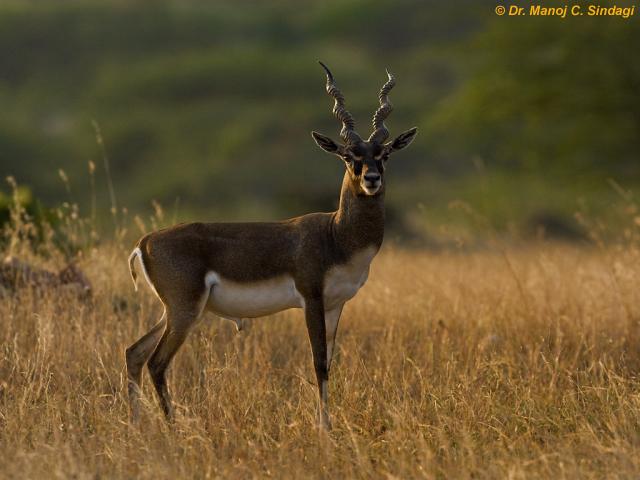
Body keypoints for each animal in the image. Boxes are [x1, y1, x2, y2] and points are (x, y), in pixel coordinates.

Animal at [127, 62, 418, 428]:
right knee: (157, 362)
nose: (371, 179)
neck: (336, 235)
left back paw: (137, 424)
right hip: (184, 310)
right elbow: (318, 362)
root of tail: (145, 241)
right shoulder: (311, 299)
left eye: (384, 154)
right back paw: (173, 427)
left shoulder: (336, 304)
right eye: (349, 155)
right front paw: (324, 429)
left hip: (175, 311)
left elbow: (329, 363)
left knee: (135, 353)